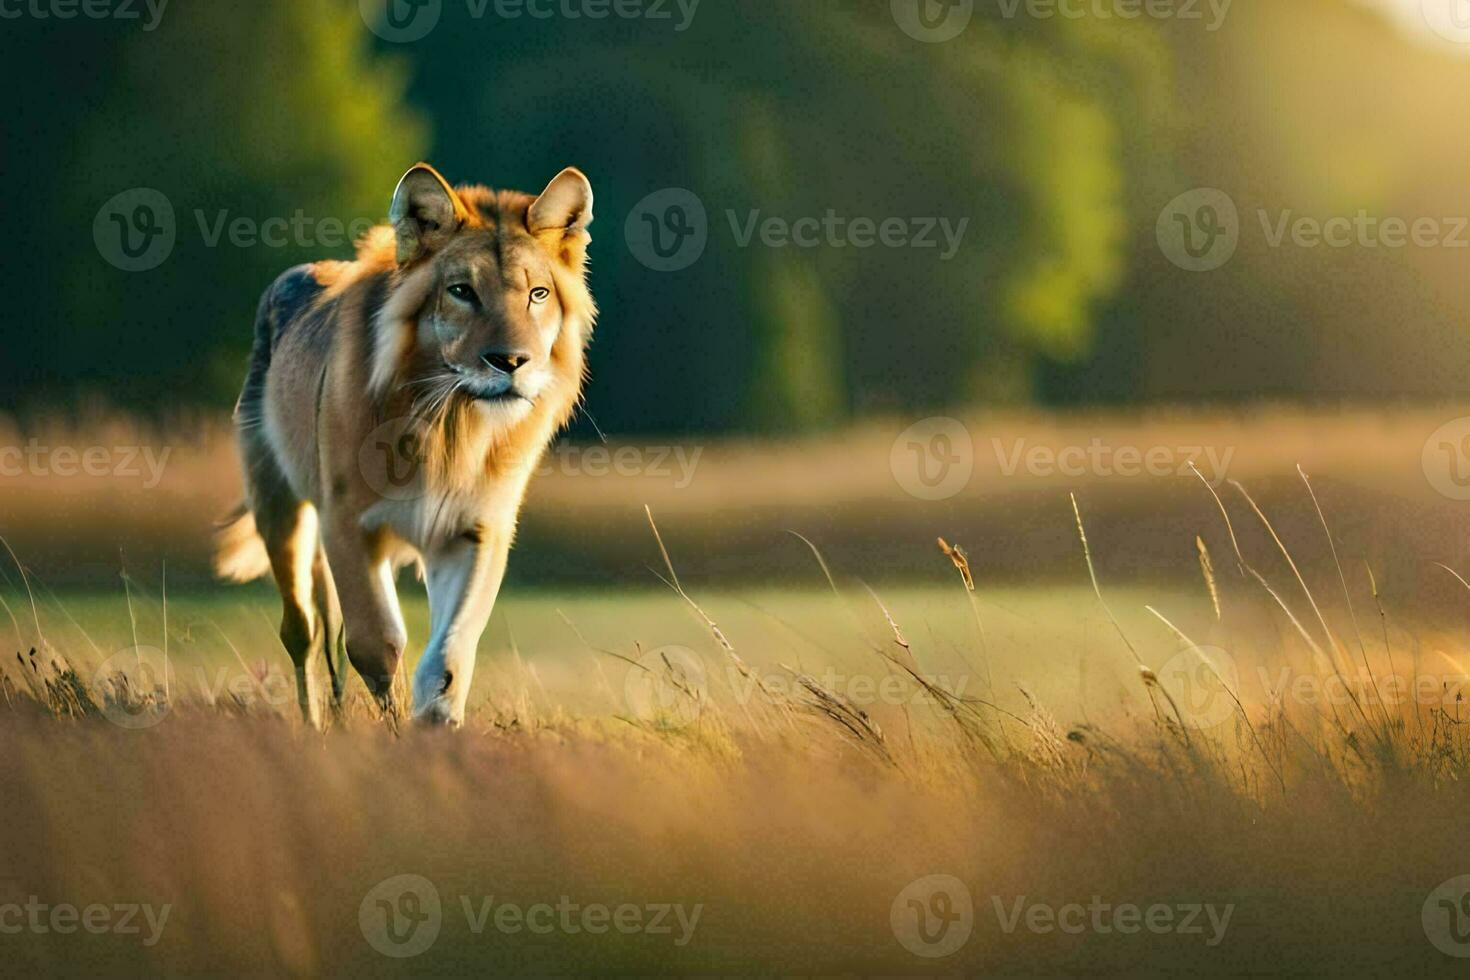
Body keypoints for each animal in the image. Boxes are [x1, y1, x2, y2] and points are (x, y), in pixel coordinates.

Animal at [214, 163, 590, 728]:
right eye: (462, 291)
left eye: (538, 294)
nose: (511, 361)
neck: (448, 422)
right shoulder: (346, 519)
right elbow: (376, 644)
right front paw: (390, 728)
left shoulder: (475, 528)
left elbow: (449, 653)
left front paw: (433, 726)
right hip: (278, 506)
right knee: (303, 631)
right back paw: (314, 726)